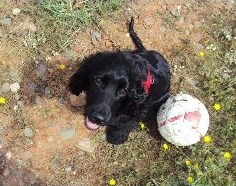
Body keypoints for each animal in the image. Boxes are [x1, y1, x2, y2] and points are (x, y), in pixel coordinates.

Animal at [68, 17, 170, 145]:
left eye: (122, 92)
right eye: (98, 80)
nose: (97, 118)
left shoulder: (139, 108)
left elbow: (127, 123)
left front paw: (116, 136)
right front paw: (76, 84)